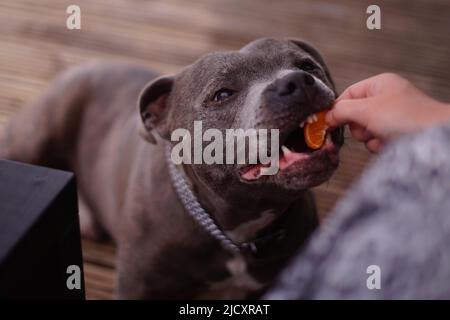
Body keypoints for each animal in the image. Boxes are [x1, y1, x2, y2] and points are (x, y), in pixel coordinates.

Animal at [0, 38, 342, 300]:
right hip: (37, 134)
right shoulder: (138, 289)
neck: (236, 233)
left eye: (307, 66)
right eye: (222, 94)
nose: (294, 81)